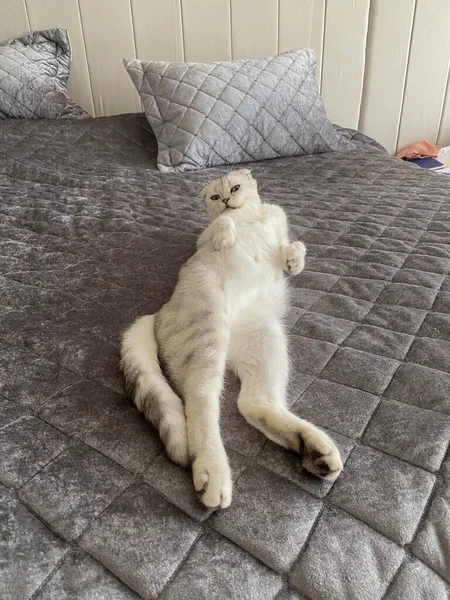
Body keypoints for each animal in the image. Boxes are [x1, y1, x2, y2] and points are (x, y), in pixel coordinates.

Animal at [119, 169, 342, 506]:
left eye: (235, 188)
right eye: (215, 196)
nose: (225, 200)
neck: (248, 216)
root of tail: (157, 313)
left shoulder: (280, 228)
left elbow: (294, 245)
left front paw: (294, 261)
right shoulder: (202, 238)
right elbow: (223, 224)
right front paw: (227, 234)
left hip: (266, 342)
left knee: (251, 403)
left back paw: (314, 451)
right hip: (208, 331)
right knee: (201, 403)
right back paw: (213, 473)